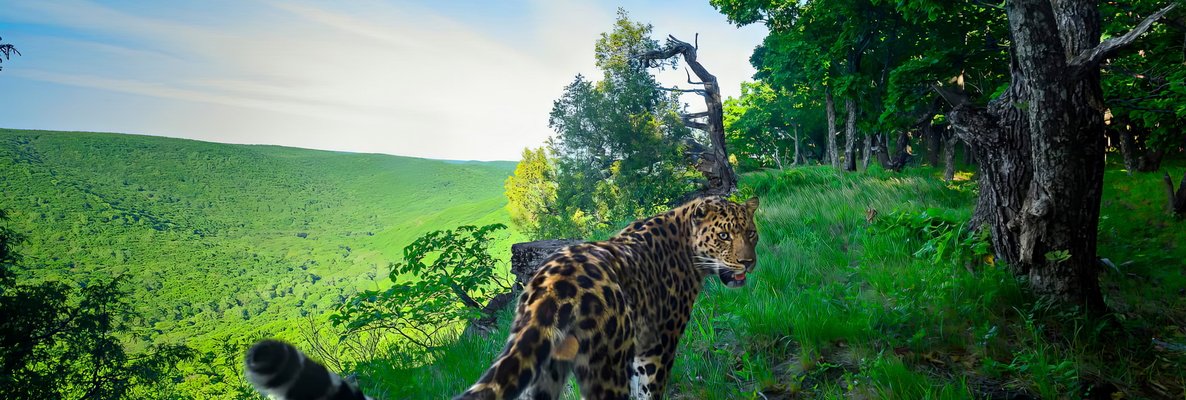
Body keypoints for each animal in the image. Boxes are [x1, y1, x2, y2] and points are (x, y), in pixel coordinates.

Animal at [453, 194, 759, 396]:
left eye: (751, 234)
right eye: (723, 236)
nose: (748, 263)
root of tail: (553, 281)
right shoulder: (657, 346)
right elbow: (650, 392)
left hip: (546, 368)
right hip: (606, 364)